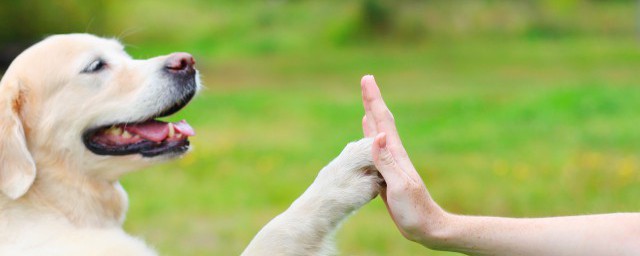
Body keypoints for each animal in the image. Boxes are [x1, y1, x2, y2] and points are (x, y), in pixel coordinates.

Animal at [0, 33, 382, 254]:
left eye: (124, 54)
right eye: (95, 66)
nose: (187, 62)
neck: (50, 204)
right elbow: (278, 229)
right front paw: (342, 177)